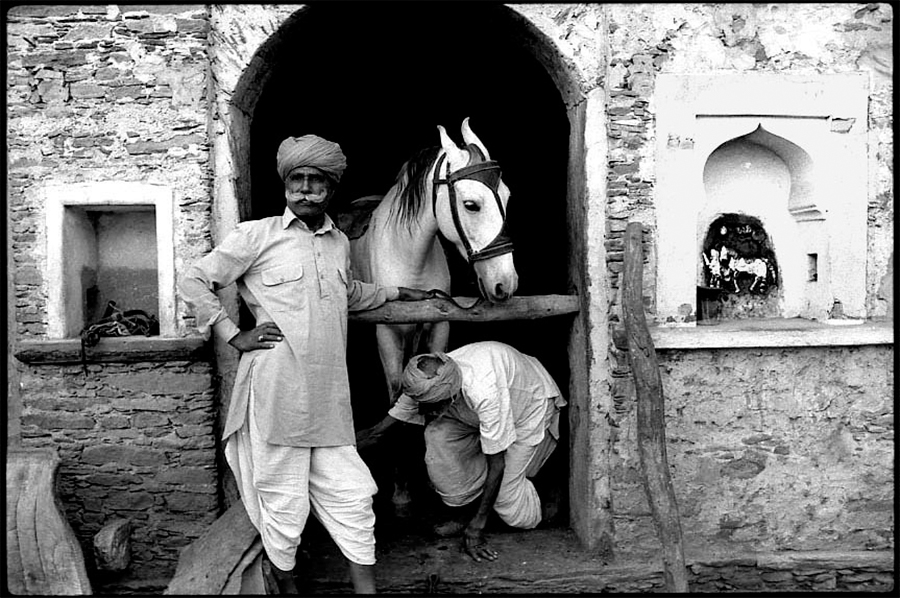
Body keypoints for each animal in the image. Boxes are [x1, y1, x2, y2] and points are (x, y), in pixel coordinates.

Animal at [352, 117, 520, 408]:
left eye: (506, 196)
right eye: (471, 204)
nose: (505, 283)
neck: (410, 259)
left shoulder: (440, 325)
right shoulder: (387, 334)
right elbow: (395, 391)